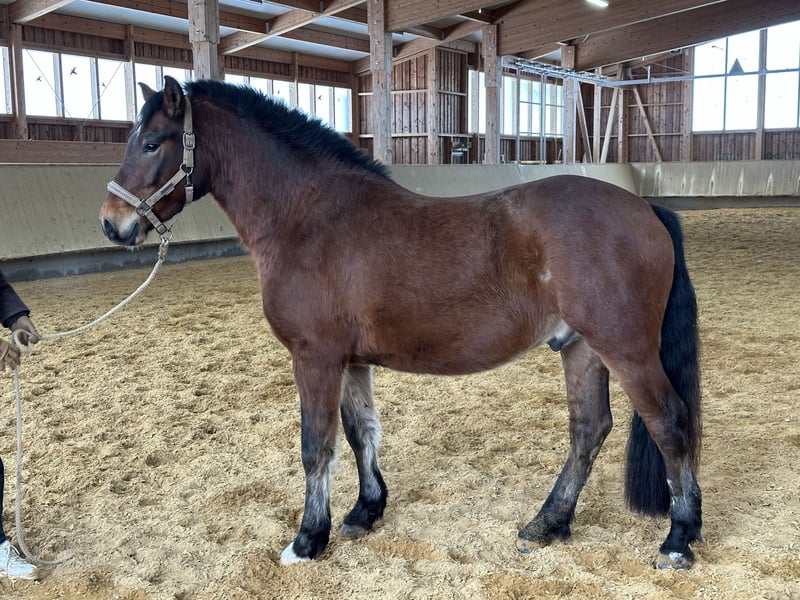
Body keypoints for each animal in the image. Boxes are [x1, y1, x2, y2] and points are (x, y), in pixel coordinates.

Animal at [99, 76, 702, 569]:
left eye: (153, 142)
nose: (111, 223)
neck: (309, 218)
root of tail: (645, 209)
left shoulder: (315, 356)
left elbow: (316, 445)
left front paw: (308, 540)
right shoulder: (349, 361)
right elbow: (359, 433)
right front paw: (365, 513)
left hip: (626, 349)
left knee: (669, 422)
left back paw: (678, 539)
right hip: (580, 347)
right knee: (588, 430)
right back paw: (547, 524)